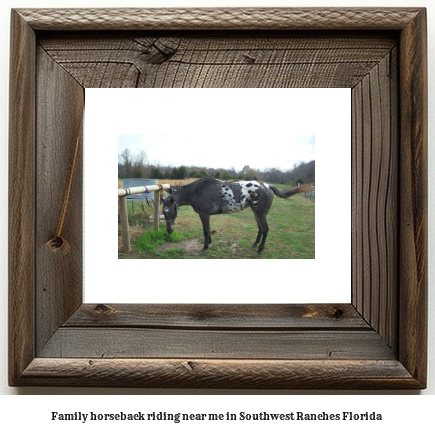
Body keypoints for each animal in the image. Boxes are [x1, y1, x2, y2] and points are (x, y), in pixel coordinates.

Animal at [162, 178, 312, 254]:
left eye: (169, 211)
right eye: (163, 212)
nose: (169, 231)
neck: (197, 191)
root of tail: (267, 186)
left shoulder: (204, 215)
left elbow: (205, 230)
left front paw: (205, 247)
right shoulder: (206, 215)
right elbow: (208, 230)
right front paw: (209, 243)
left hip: (261, 213)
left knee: (265, 229)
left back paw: (259, 249)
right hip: (256, 213)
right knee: (260, 229)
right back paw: (255, 244)